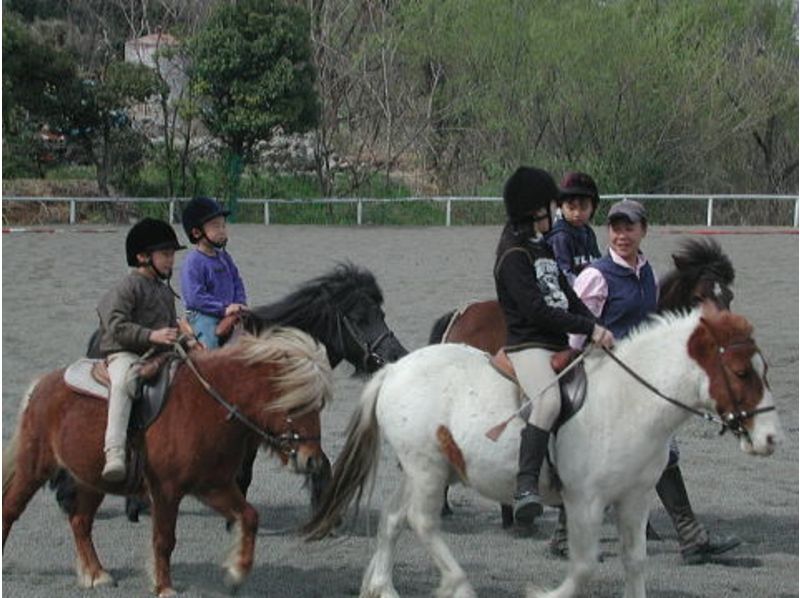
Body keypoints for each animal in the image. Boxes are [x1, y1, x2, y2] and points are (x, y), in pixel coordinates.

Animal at [2, 328, 332, 598]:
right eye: (295, 404)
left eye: (319, 405)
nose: (312, 460)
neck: (209, 405)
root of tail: (41, 386)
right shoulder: (166, 490)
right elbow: (164, 539)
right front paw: (163, 587)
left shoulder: (213, 486)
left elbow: (250, 516)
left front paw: (236, 572)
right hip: (34, 468)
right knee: (11, 510)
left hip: (92, 479)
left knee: (80, 522)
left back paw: (96, 574)